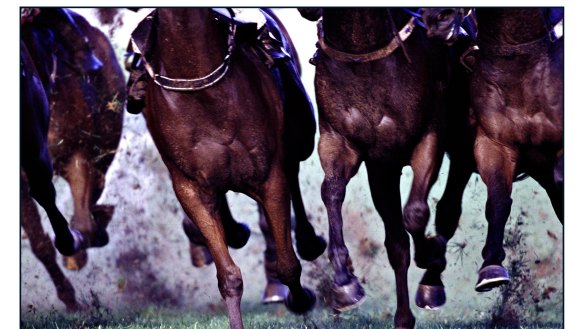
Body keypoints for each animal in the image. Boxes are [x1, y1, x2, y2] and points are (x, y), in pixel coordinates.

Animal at [137, 8, 314, 328]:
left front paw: (301, 299)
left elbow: (287, 263)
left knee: (293, 173)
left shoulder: (270, 176)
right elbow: (229, 276)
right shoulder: (191, 188)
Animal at [298, 7, 450, 328]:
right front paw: (344, 281)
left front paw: (430, 255)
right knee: (396, 243)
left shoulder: (429, 137)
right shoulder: (343, 144)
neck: (363, 54)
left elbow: (416, 213)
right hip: (383, 174)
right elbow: (331, 192)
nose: (308, 10)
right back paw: (403, 316)